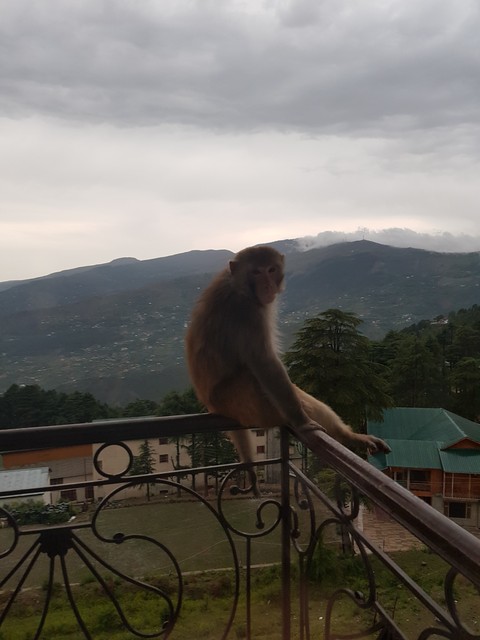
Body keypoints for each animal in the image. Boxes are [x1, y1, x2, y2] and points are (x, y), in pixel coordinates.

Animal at [185, 246, 389, 485]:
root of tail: (212, 404)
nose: (267, 285)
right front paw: (302, 422)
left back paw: (347, 436)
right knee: (257, 378)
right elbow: (265, 362)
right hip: (241, 400)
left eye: (271, 270)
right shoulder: (247, 312)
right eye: (256, 272)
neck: (238, 285)